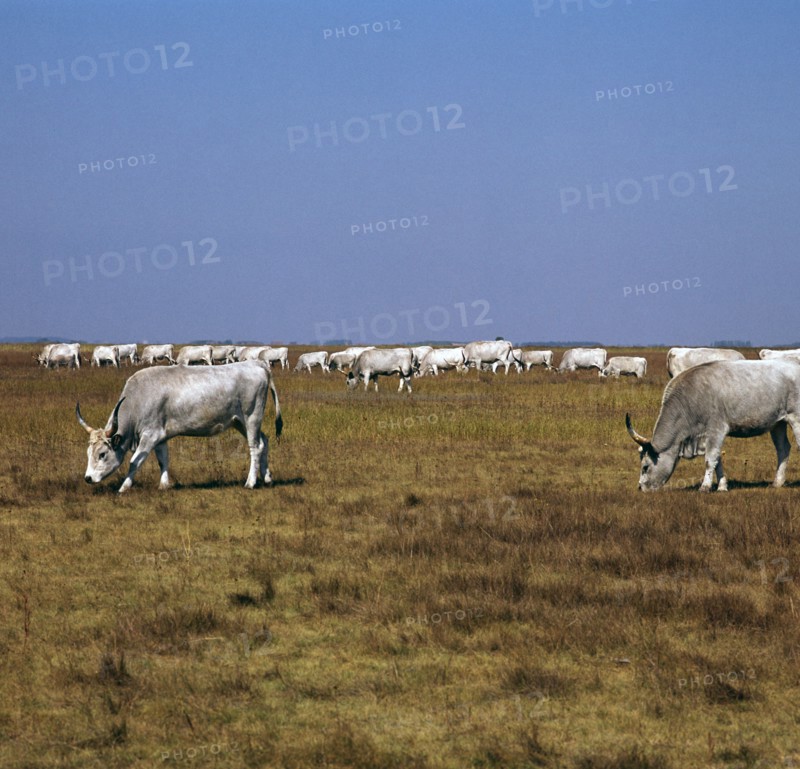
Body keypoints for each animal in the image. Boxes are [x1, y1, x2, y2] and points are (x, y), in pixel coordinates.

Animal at [76, 360, 282, 493]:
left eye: (102, 454)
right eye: (88, 453)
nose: (88, 478)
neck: (138, 398)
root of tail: (256, 364)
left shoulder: (150, 435)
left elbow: (135, 461)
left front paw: (123, 488)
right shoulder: (160, 437)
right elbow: (163, 460)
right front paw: (164, 485)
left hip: (251, 417)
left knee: (255, 447)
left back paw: (251, 482)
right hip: (239, 422)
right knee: (264, 441)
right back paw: (267, 478)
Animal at [626, 359, 800, 492]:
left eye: (645, 467)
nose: (640, 488)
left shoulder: (716, 430)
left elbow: (710, 459)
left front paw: (705, 487)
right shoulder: (708, 437)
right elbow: (717, 460)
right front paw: (722, 486)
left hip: (796, 418)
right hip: (778, 424)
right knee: (783, 449)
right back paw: (777, 482)